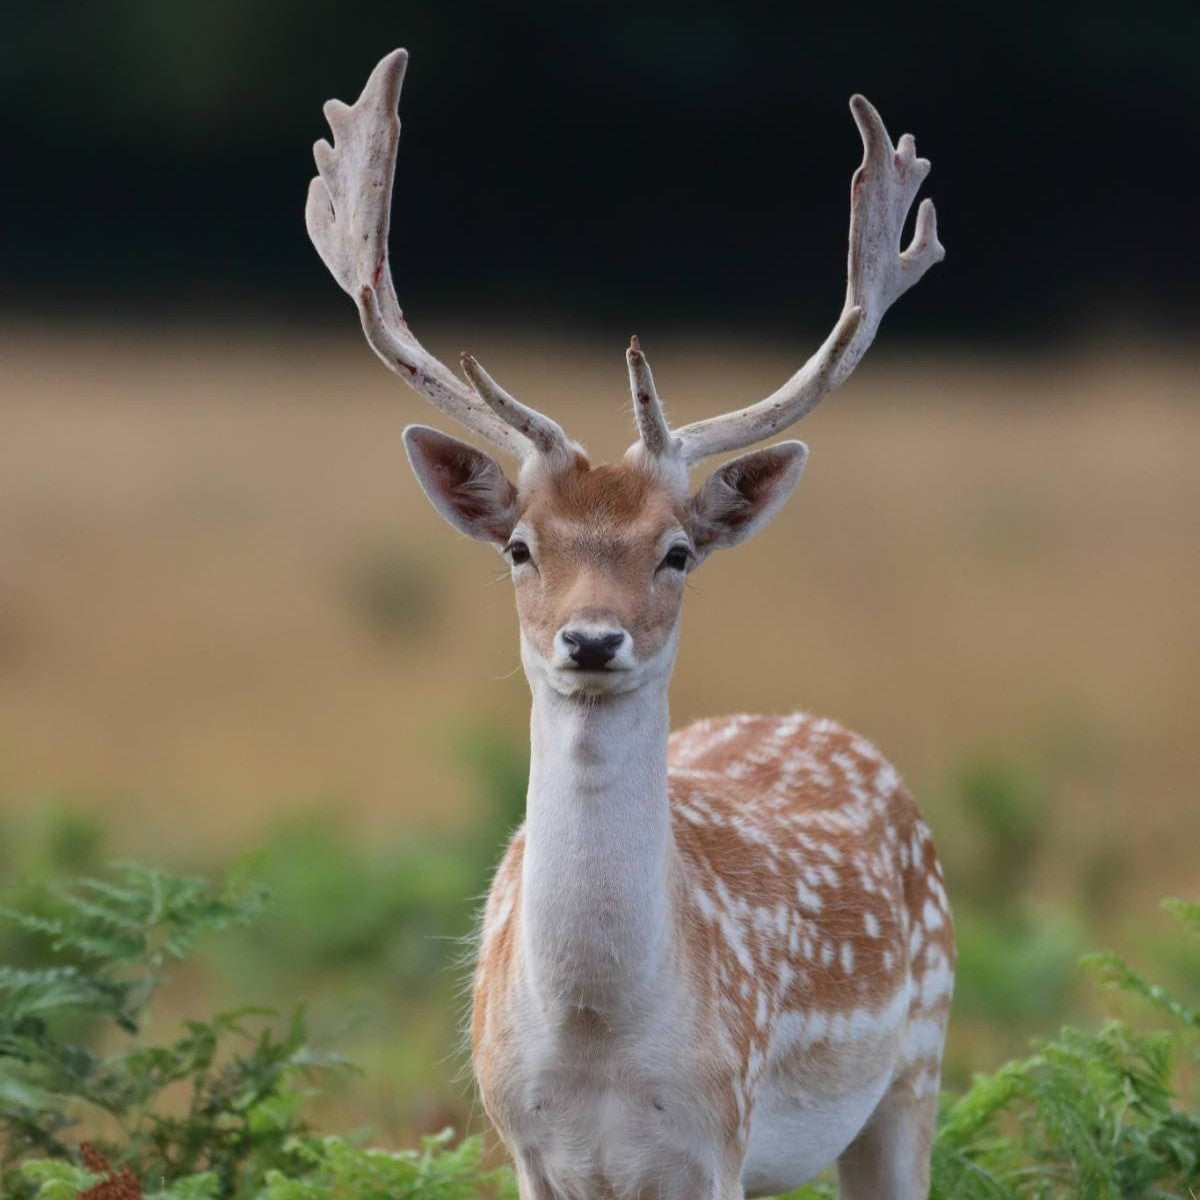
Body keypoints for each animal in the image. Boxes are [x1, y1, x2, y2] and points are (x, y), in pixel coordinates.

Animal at [306, 48, 954, 1200]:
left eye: (678, 551)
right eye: (521, 547)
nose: (593, 640)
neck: (597, 1035)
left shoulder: (715, 1144)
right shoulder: (523, 1145)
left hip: (915, 1070)